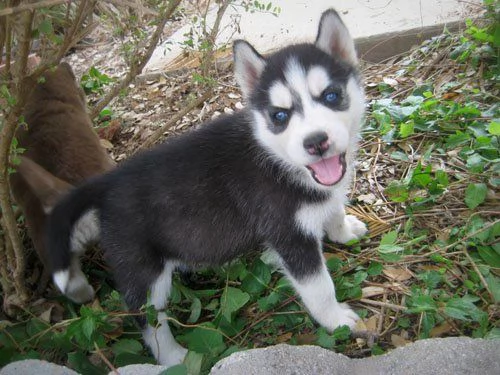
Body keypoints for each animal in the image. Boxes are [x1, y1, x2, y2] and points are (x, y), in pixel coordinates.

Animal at [47, 8, 368, 368]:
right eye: (280, 116)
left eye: (331, 95)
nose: (315, 142)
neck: (280, 160)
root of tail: (105, 182)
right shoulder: (290, 235)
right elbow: (319, 287)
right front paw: (337, 320)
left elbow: (334, 207)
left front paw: (344, 230)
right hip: (144, 270)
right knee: (147, 319)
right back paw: (172, 356)